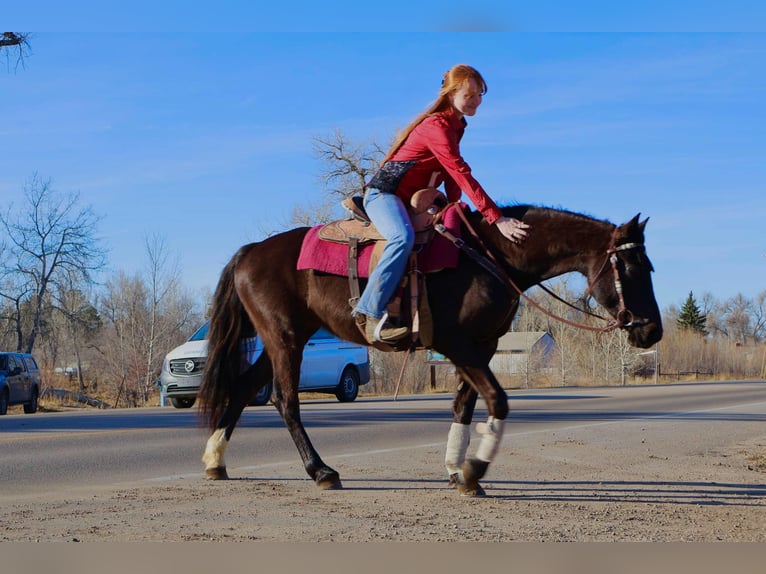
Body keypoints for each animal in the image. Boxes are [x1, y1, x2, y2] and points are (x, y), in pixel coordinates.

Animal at [195, 205, 664, 498]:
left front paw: (458, 471)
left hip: (282, 338)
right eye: (634, 267)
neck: (491, 256)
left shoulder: (482, 346)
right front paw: (474, 470)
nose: (653, 331)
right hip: (285, 338)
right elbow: (497, 400)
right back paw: (321, 471)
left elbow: (464, 405)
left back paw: (215, 461)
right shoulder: (454, 343)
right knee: (284, 399)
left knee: (242, 389)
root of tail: (249, 252)